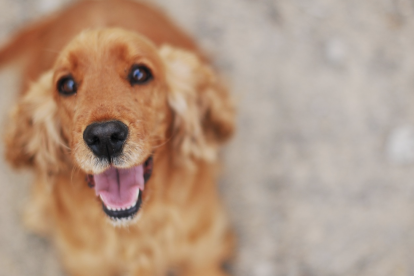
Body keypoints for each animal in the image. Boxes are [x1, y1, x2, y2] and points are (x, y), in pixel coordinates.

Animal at [0, 1, 234, 274]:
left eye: (140, 74)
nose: (104, 137)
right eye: (66, 85)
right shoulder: (87, 264)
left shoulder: (201, 254)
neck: (133, 231)